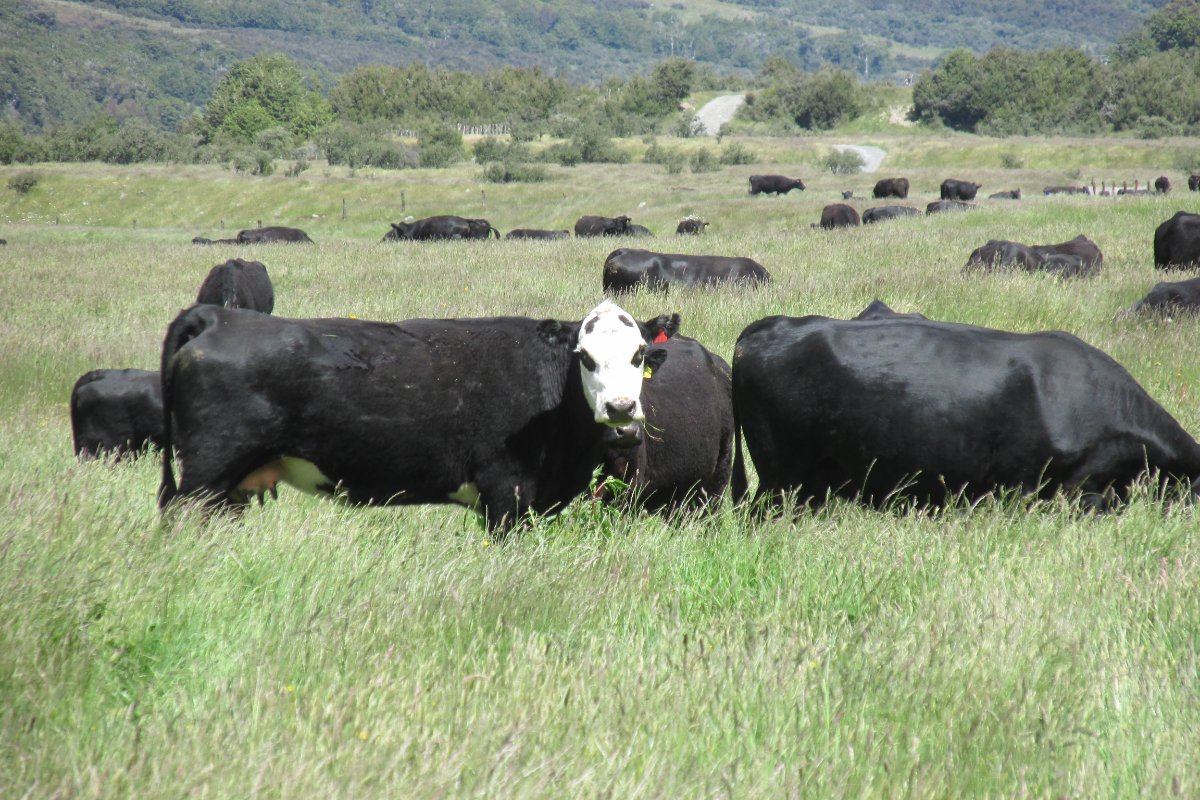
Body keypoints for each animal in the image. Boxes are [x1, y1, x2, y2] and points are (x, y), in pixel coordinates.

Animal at [157, 300, 674, 533]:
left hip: (229, 489)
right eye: (584, 356)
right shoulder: (505, 494)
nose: (620, 409)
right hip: (205, 474)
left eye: (639, 353)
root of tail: (219, 316)